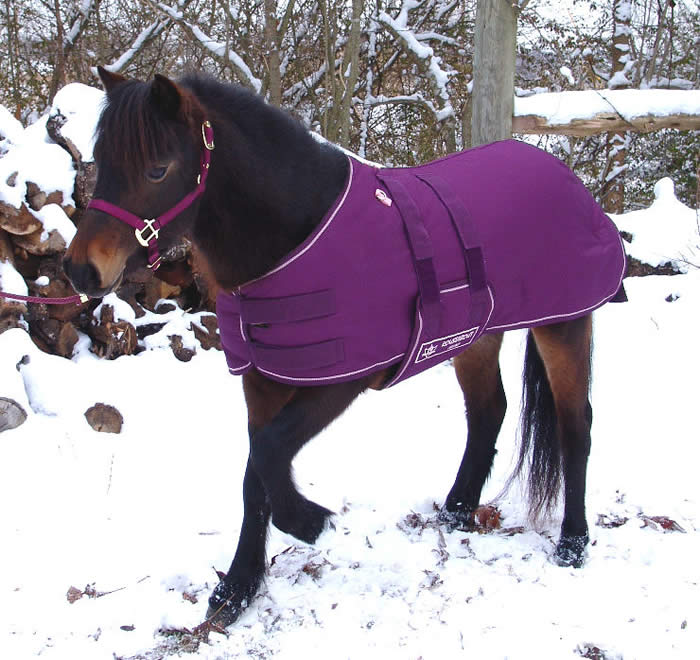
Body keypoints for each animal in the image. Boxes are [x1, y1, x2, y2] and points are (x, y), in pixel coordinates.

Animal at [64, 68, 626, 627]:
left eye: (158, 170)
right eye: (101, 162)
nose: (79, 270)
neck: (294, 240)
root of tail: (561, 172)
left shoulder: (343, 379)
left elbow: (268, 454)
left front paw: (308, 523)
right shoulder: (261, 381)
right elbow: (254, 475)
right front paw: (239, 588)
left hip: (565, 326)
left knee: (575, 426)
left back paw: (573, 542)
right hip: (476, 335)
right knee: (490, 411)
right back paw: (458, 510)